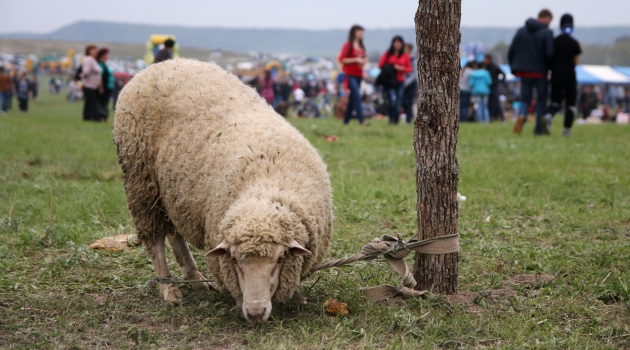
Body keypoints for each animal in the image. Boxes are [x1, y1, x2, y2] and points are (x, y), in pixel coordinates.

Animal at [112, 59, 336, 322]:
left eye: (280, 259)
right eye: (234, 260)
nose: (256, 313)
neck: (263, 187)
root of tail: (160, 65)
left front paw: (297, 297)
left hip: (173, 193)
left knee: (175, 233)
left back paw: (195, 278)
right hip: (142, 182)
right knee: (155, 241)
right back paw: (169, 289)